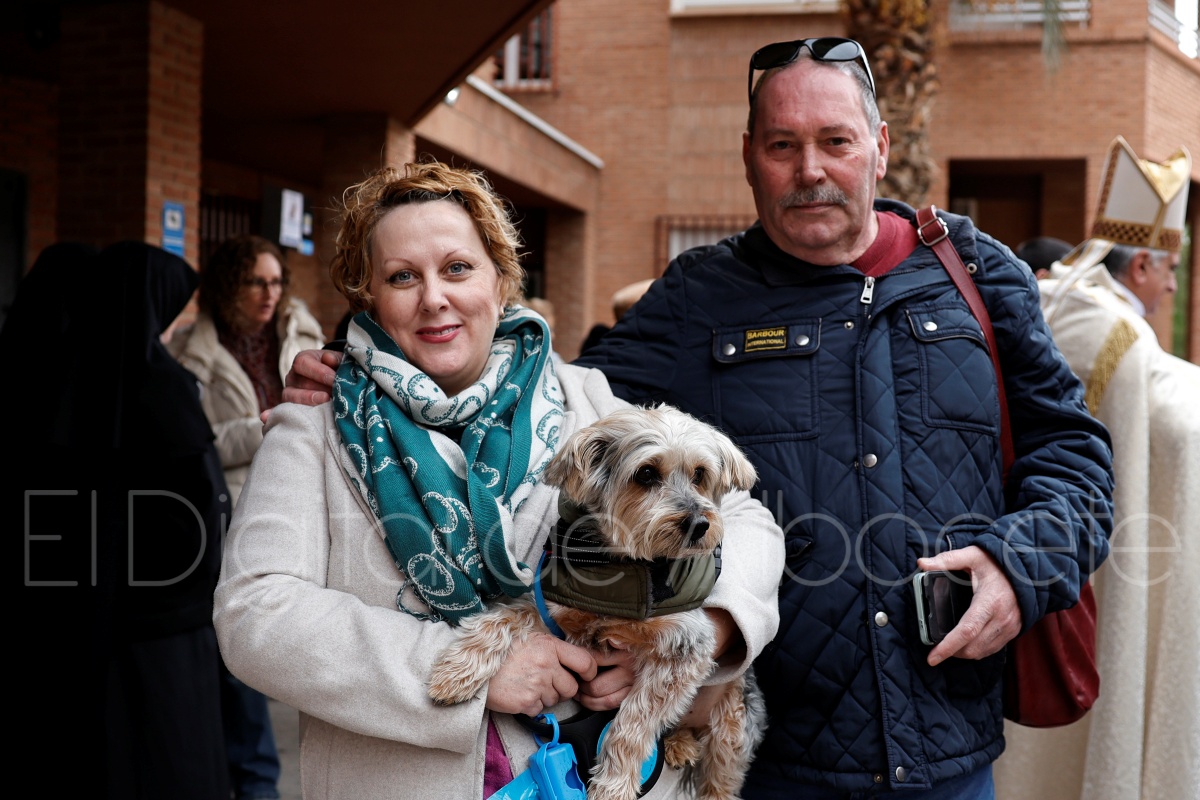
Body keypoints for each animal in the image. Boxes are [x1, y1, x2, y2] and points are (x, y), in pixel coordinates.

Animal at [427, 404, 768, 800]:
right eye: (646, 473)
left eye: (700, 473)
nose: (700, 524)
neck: (621, 570)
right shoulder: (554, 610)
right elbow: (502, 618)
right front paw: (457, 671)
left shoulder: (685, 645)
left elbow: (634, 723)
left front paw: (614, 784)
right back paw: (680, 743)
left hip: (732, 723)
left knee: (720, 775)